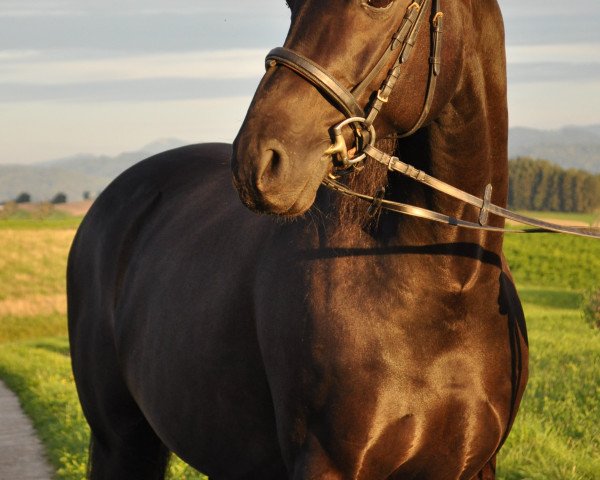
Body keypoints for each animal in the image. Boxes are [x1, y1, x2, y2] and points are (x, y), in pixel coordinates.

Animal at [68, 0, 528, 478]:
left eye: (379, 3)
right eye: (292, 6)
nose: (256, 161)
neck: (447, 285)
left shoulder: (475, 467)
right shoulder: (326, 464)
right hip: (119, 441)